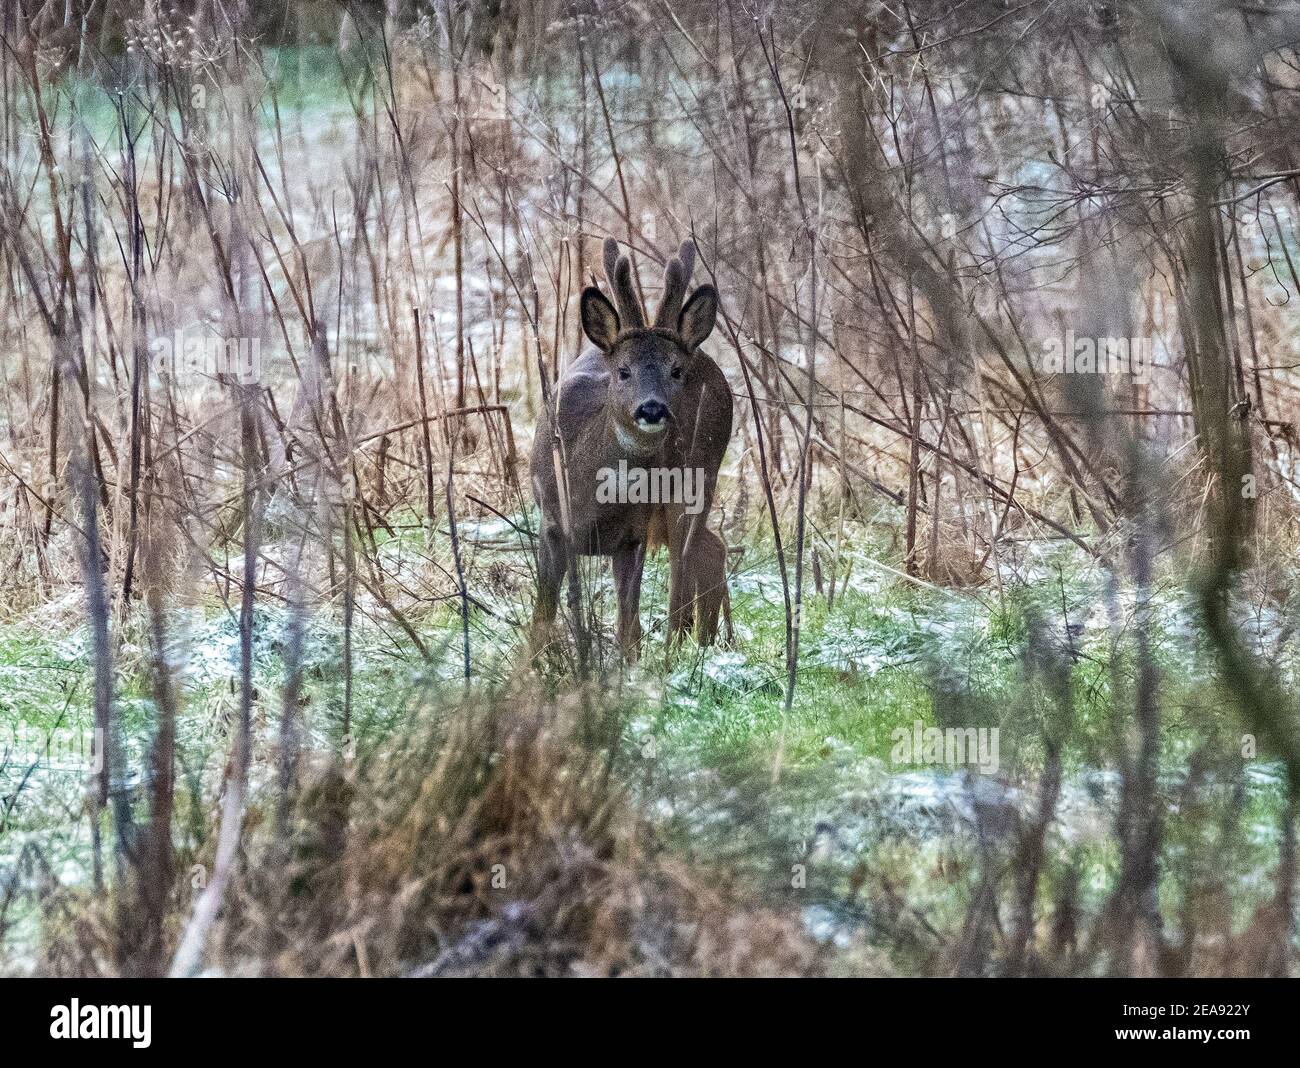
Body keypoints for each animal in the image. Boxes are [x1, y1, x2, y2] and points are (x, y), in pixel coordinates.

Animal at [530, 237, 734, 661]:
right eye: (623, 371)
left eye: (676, 371)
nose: (652, 408)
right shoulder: (552, 524)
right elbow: (541, 619)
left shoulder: (634, 535)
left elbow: (629, 628)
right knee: (711, 548)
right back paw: (710, 642)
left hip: (697, 478)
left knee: (684, 572)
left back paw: (680, 651)